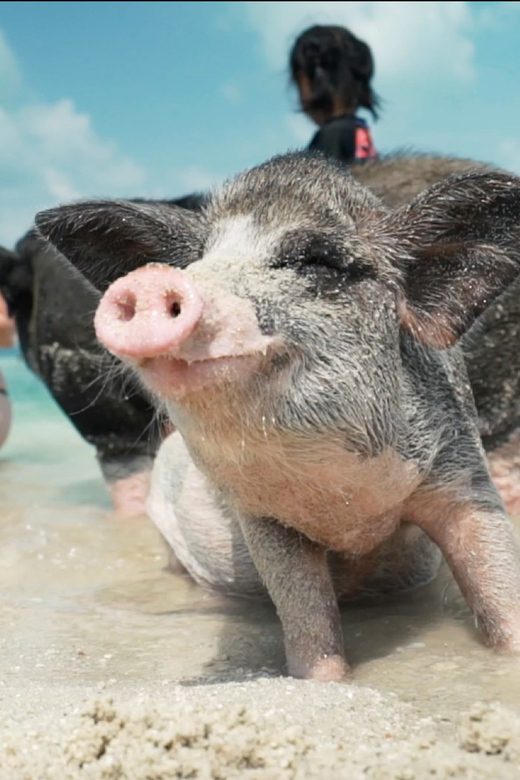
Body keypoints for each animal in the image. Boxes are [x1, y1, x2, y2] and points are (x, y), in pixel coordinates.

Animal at [35, 152, 520, 680]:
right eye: (195, 259)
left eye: (316, 261)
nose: (148, 282)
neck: (350, 510)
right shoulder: (260, 515)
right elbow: (306, 617)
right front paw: (324, 682)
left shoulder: (463, 469)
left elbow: (494, 573)